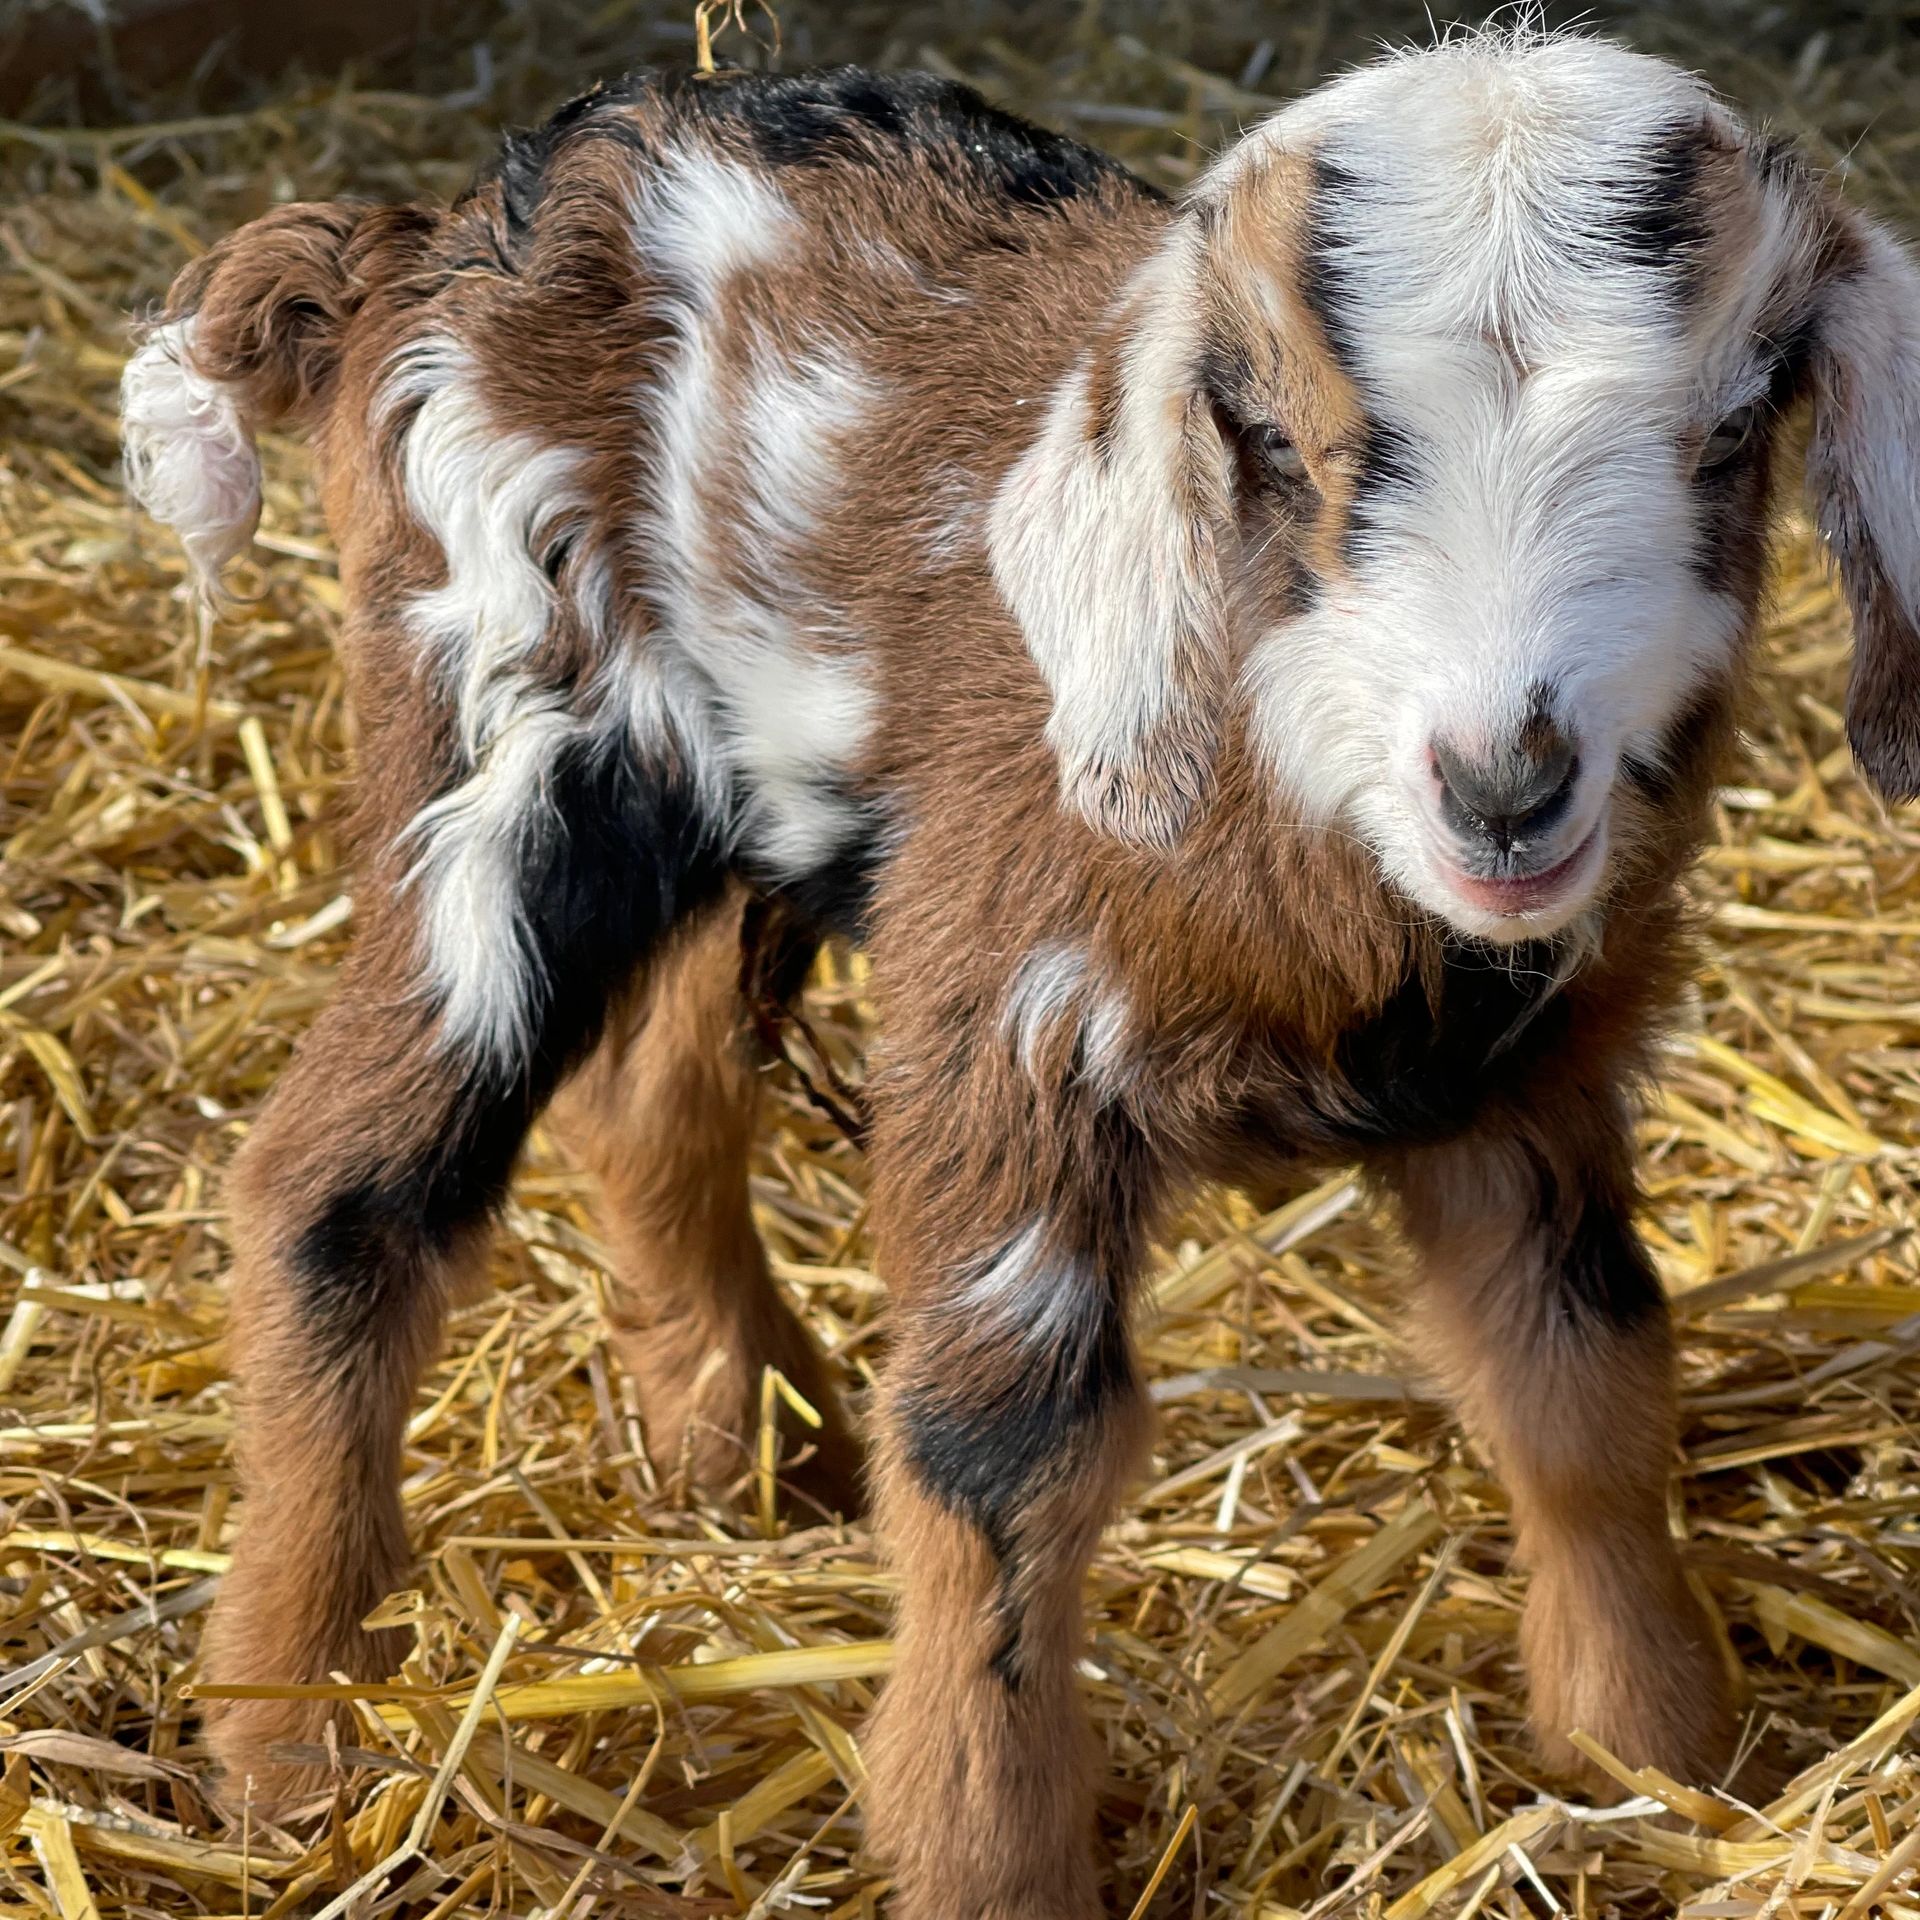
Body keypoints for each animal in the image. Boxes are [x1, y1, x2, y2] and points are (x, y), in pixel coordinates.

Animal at [123, 33, 1920, 1920]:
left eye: (1735, 429)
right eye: (1278, 440)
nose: (1503, 787)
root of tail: (420, 247)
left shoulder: (1534, 1074)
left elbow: (1585, 1382)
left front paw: (1655, 1760)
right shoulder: (1011, 1037)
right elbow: (1003, 1464)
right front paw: (985, 1856)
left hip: (737, 800)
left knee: (653, 1089)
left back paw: (744, 1441)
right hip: (496, 745)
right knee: (340, 1187)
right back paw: (292, 1746)